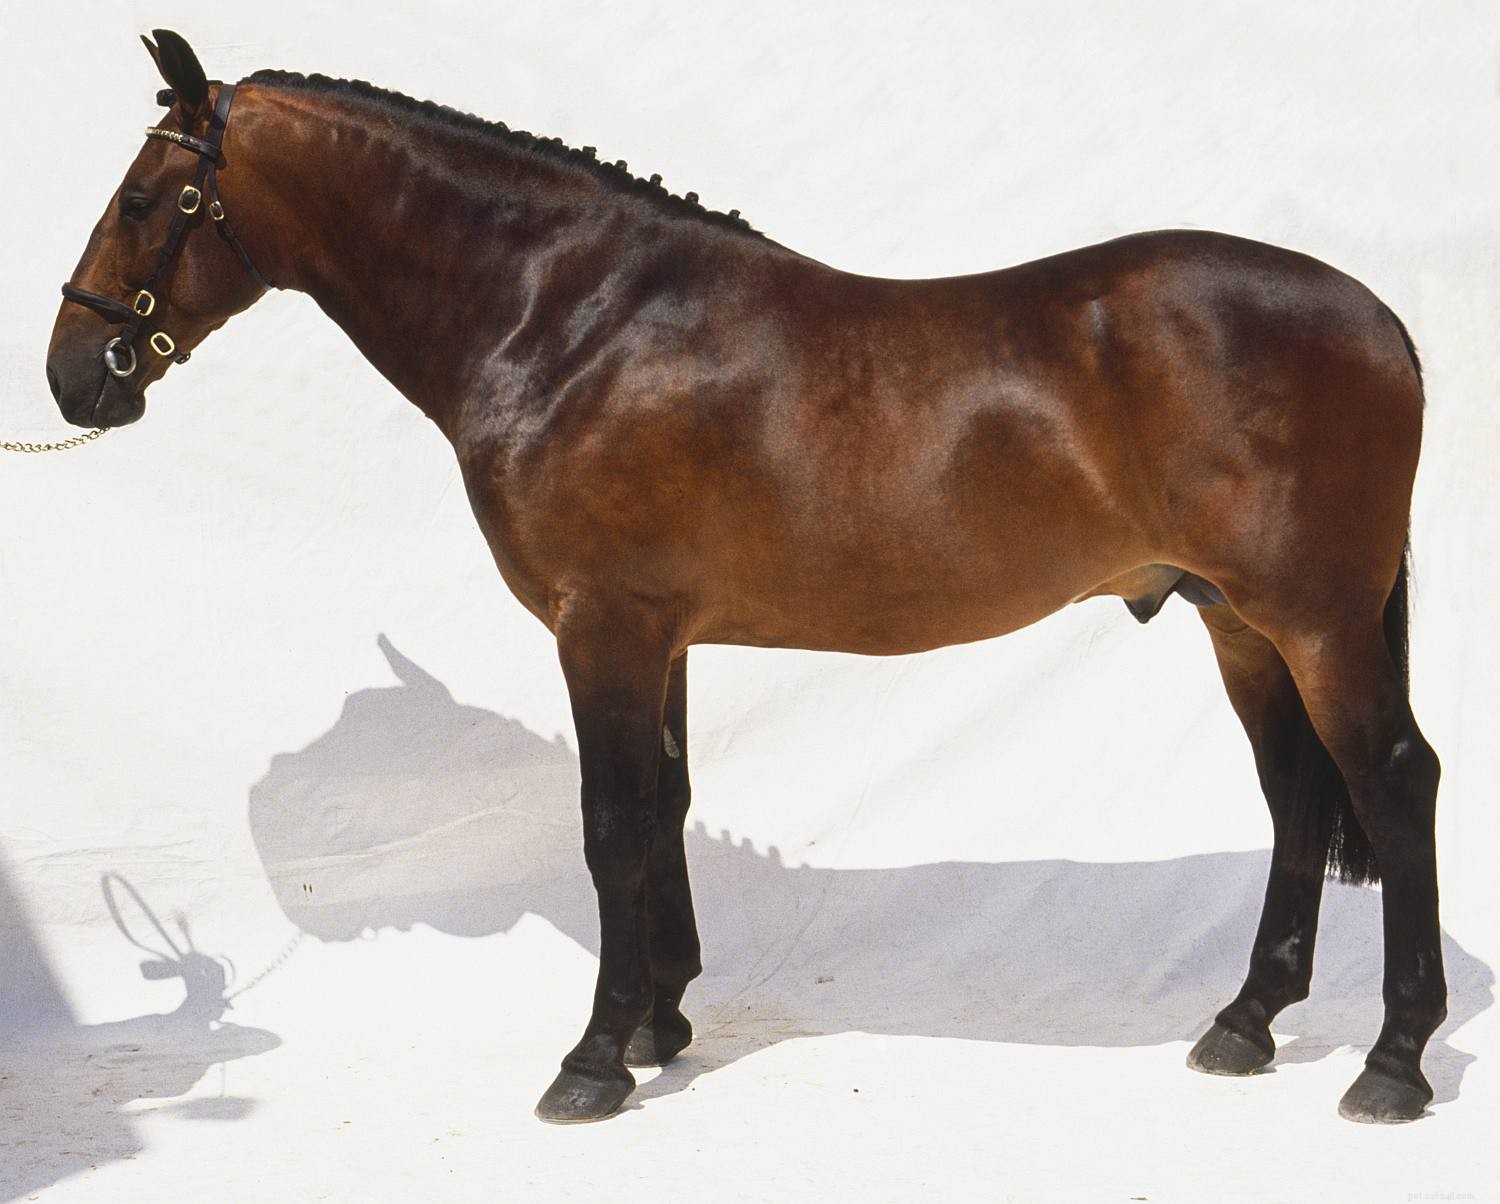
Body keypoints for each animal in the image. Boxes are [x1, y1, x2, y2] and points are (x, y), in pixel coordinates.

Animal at [46, 30, 1444, 1126]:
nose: (71, 376)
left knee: (1393, 781)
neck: (571, 321)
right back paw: (1246, 1024)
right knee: (1298, 796)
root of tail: (1381, 320)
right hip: (1241, 625)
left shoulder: (601, 625)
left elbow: (611, 820)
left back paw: (1391, 1062)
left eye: (142, 199)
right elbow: (665, 804)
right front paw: (661, 1024)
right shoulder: (658, 633)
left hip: (1316, 623)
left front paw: (593, 1060)